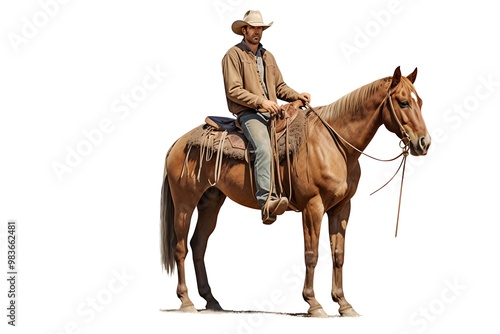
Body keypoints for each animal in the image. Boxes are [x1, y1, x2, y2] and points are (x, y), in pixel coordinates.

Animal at [160, 66, 430, 318]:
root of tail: (178, 142)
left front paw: (344, 304)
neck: (334, 145)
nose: (424, 143)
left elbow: (338, 254)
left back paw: (212, 301)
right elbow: (311, 254)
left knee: (198, 244)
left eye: (420, 101)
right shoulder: (313, 206)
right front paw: (314, 304)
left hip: (211, 201)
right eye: (403, 102)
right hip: (185, 203)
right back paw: (186, 301)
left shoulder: (341, 208)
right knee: (181, 247)